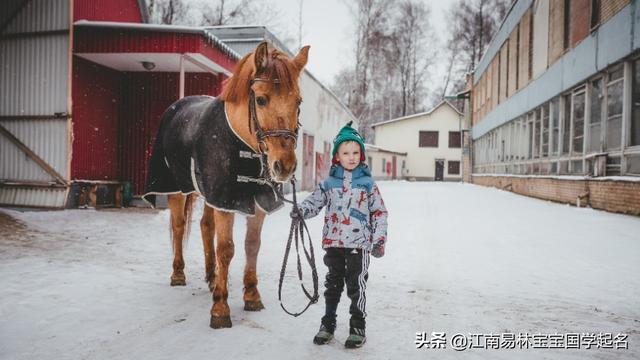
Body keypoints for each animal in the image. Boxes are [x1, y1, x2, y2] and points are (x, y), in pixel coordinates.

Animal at [142, 40, 310, 328]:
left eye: (298, 101)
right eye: (261, 99)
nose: (284, 166)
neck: (242, 141)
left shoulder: (254, 201)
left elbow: (252, 245)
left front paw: (251, 295)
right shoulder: (225, 200)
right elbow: (226, 249)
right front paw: (220, 309)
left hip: (208, 194)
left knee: (204, 226)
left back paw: (212, 278)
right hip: (177, 188)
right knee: (179, 226)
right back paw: (178, 274)